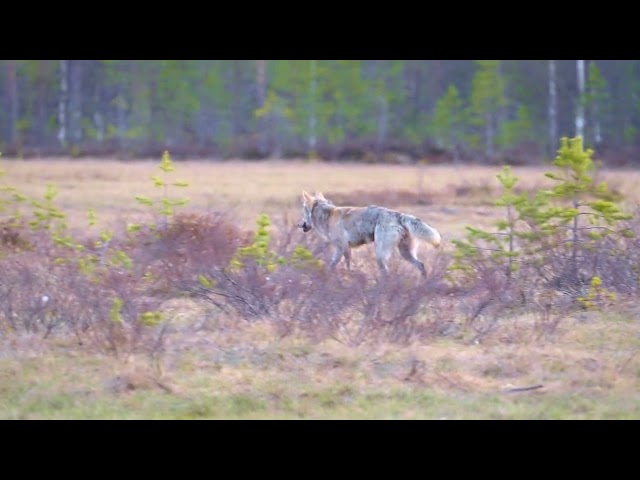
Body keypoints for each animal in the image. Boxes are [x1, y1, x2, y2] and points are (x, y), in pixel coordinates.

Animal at [298, 189, 440, 276]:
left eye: (303, 210)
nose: (299, 225)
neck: (327, 215)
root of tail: (399, 215)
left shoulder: (344, 247)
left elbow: (348, 266)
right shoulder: (340, 248)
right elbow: (331, 266)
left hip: (381, 255)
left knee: (386, 273)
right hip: (405, 253)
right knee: (421, 265)